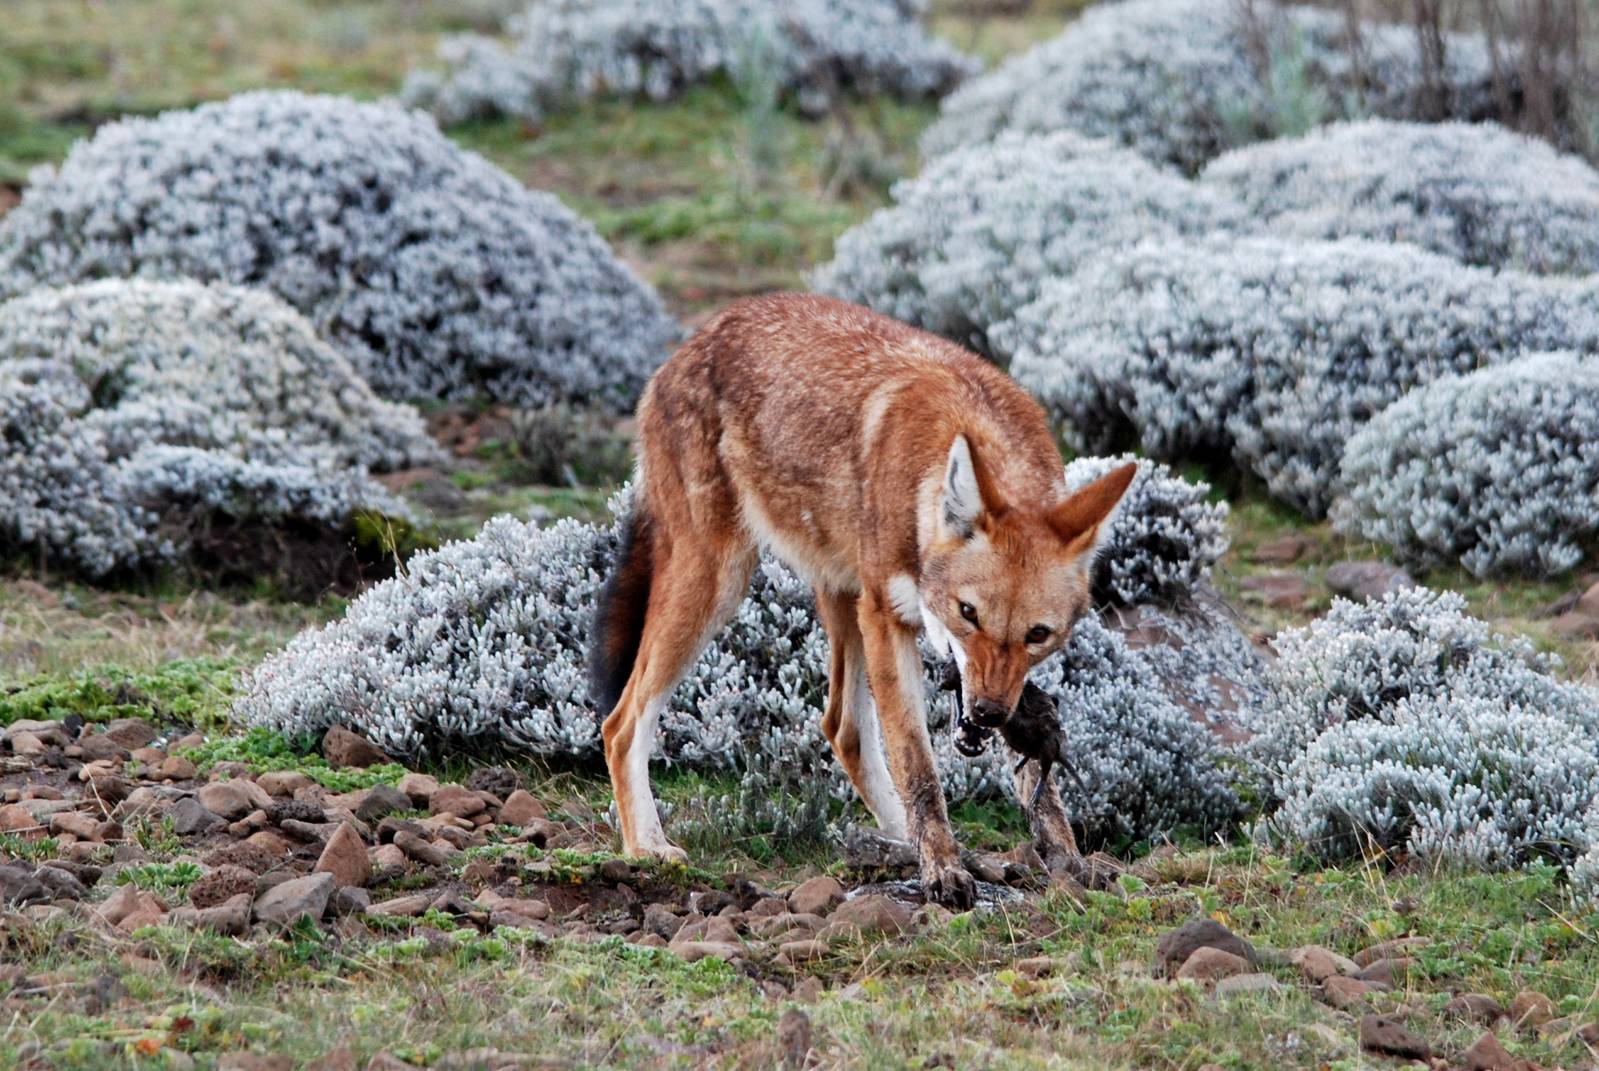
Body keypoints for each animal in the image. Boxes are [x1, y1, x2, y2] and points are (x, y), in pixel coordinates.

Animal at [589, 293, 1135, 908]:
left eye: (1038, 635)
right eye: (967, 613)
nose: (988, 713)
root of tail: (690, 345)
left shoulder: (993, 672)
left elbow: (1034, 781)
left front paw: (1067, 860)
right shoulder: (887, 618)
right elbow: (919, 766)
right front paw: (942, 872)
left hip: (837, 596)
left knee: (843, 730)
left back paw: (907, 844)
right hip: (720, 583)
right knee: (621, 723)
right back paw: (647, 849)